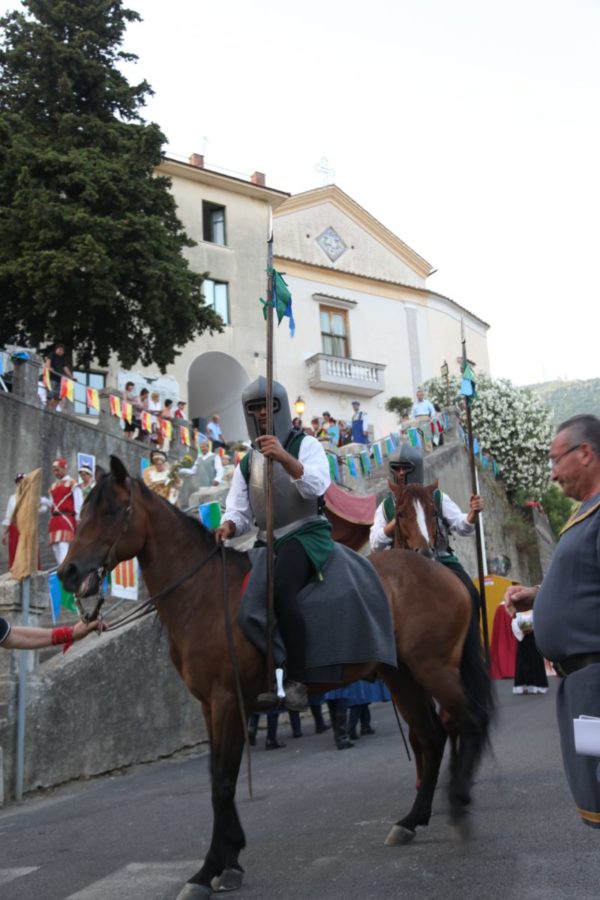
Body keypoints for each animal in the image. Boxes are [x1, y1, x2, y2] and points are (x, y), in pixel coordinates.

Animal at [58, 460, 494, 896]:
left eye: (111, 511)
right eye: (84, 511)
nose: (68, 572)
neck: (204, 594)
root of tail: (442, 572)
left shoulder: (227, 699)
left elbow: (222, 781)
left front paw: (208, 870)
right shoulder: (211, 706)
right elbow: (222, 776)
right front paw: (231, 860)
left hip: (434, 668)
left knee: (468, 721)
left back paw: (457, 807)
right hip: (402, 675)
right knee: (433, 736)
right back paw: (411, 821)